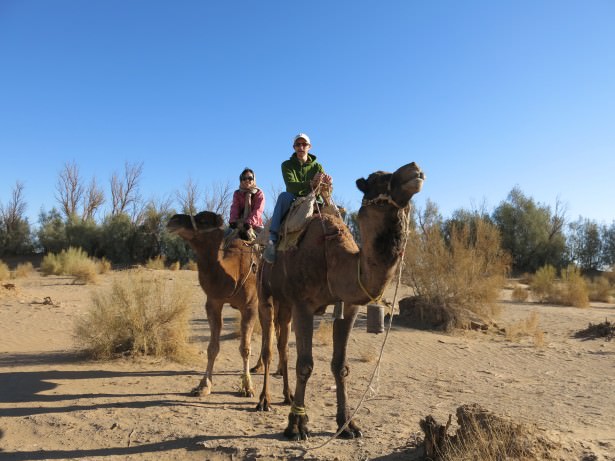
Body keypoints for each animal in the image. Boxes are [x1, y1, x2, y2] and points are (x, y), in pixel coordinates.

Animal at [255, 161, 424, 438]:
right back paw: (263, 401)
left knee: (282, 346)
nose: (415, 169)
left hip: (285, 303)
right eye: (376, 179)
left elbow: (340, 366)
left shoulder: (349, 306)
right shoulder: (303, 304)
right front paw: (297, 425)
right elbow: (305, 365)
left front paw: (347, 424)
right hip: (265, 292)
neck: (333, 259)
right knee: (268, 348)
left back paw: (287, 396)